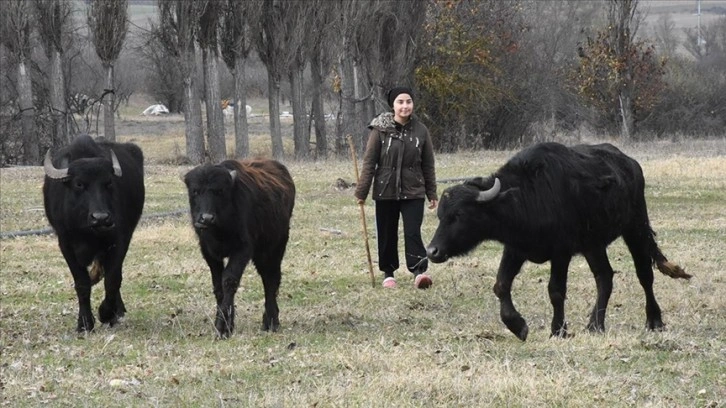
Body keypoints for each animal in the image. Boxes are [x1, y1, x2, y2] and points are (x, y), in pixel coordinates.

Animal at [43, 135, 146, 334]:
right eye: (79, 184)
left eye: (108, 183)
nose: (101, 218)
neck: (88, 232)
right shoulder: (66, 244)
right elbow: (82, 283)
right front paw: (84, 323)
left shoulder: (118, 241)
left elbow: (113, 279)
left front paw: (106, 313)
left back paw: (117, 311)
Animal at [185, 159, 296, 338]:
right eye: (195, 191)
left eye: (219, 191)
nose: (206, 218)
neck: (219, 229)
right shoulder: (209, 252)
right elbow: (218, 286)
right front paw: (227, 324)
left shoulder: (242, 250)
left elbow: (229, 280)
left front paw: (222, 328)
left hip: (274, 248)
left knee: (271, 280)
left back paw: (271, 321)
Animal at [430, 142, 692, 340]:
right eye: (440, 215)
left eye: (459, 215)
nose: (433, 251)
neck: (527, 197)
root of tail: (631, 164)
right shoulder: (515, 249)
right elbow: (501, 285)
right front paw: (518, 326)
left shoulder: (561, 252)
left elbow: (555, 291)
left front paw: (558, 330)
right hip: (593, 244)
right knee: (604, 277)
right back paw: (595, 324)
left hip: (636, 227)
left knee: (644, 274)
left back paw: (654, 320)